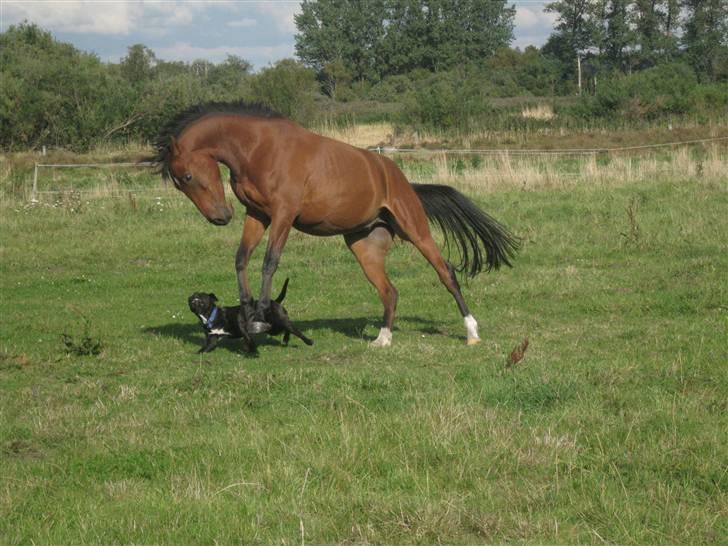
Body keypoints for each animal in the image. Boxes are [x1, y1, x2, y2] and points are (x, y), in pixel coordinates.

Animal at [152, 102, 516, 346]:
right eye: (179, 184)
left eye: (187, 176)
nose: (220, 217)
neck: (259, 148)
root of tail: (399, 178)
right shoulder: (257, 215)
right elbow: (241, 259)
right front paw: (247, 311)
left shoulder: (283, 215)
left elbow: (269, 262)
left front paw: (261, 318)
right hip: (364, 246)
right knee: (390, 291)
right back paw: (383, 339)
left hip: (416, 230)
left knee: (447, 274)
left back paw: (471, 332)